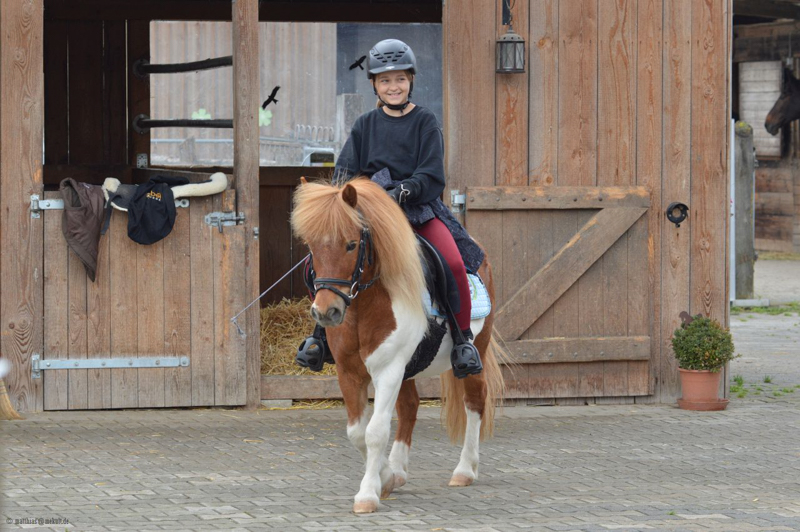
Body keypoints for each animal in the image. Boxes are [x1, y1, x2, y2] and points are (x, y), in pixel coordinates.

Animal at [290, 177, 506, 514]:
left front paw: (368, 494)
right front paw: (386, 477)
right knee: (409, 407)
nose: (327, 312)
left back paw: (465, 470)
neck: (365, 305)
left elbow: (375, 432)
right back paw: (400, 469)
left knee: (474, 401)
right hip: (408, 368)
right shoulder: (349, 373)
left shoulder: (388, 370)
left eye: (351, 244)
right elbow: (357, 433)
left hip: (474, 353)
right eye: (311, 246)